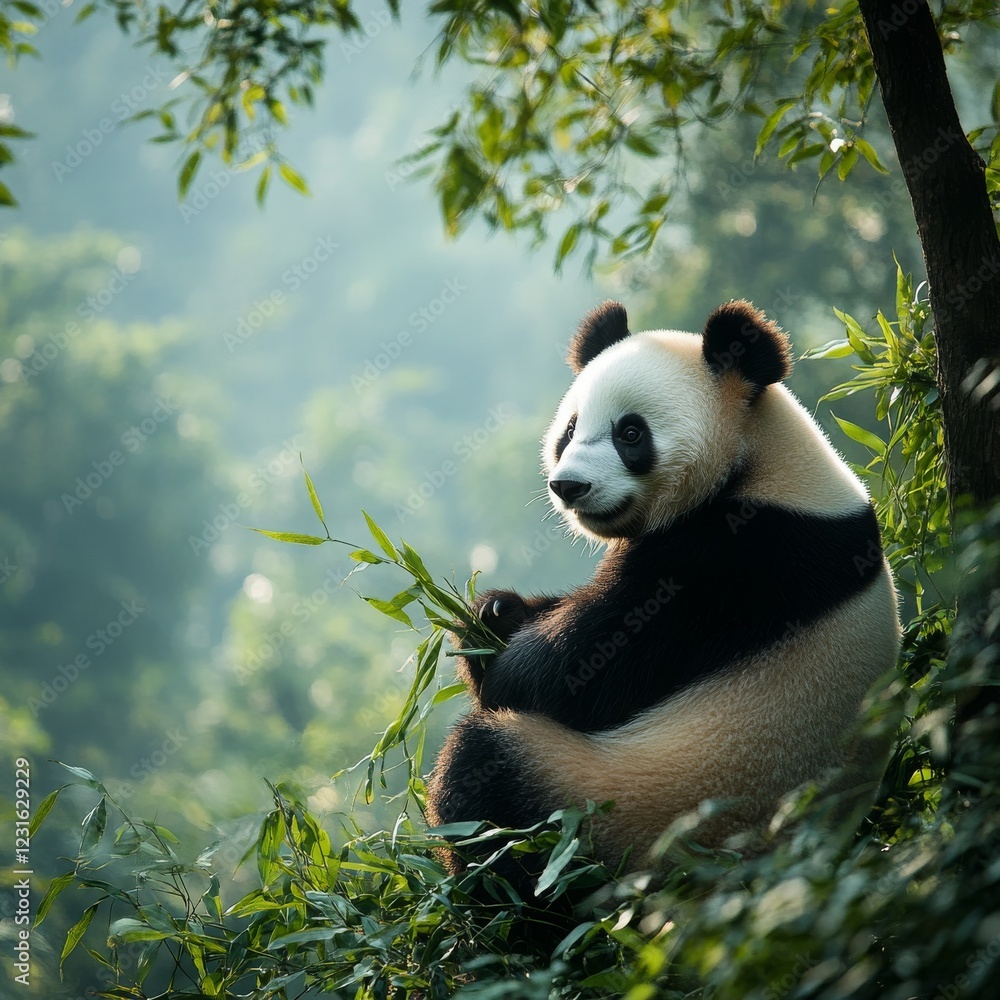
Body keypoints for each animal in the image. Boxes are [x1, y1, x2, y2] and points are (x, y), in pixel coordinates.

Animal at [426, 299, 901, 879]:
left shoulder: (730, 566)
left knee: (491, 778)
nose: (569, 486)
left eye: (631, 434)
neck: (759, 460)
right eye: (570, 429)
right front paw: (496, 610)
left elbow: (572, 674)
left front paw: (495, 651)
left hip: (626, 809)